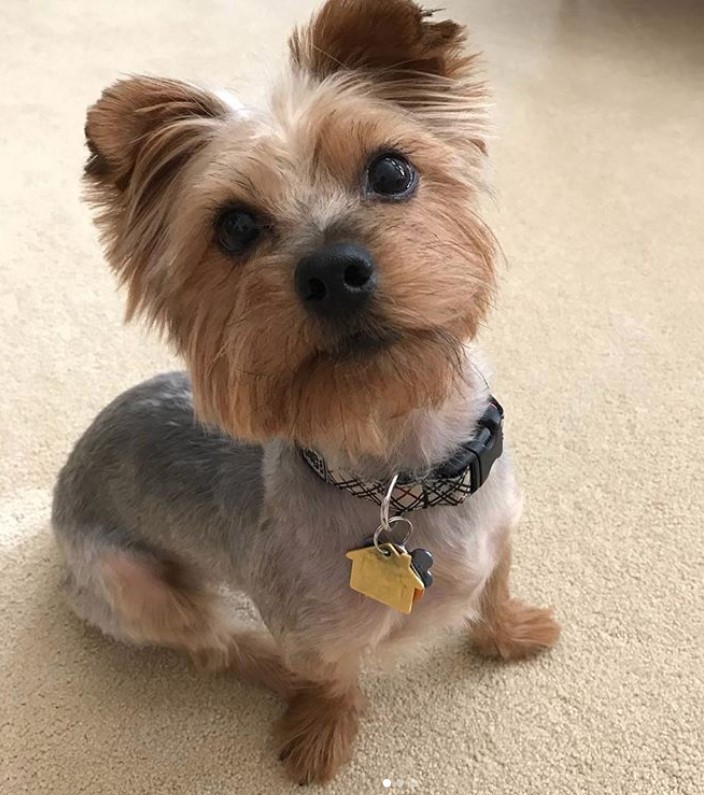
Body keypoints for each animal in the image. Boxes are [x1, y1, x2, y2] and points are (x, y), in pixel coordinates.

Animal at [52, 0, 560, 784]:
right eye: (234, 226)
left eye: (391, 171)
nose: (332, 270)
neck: (405, 470)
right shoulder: (313, 628)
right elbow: (330, 676)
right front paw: (321, 732)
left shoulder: (500, 529)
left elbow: (496, 586)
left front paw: (508, 632)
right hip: (126, 582)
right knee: (208, 641)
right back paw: (264, 664)